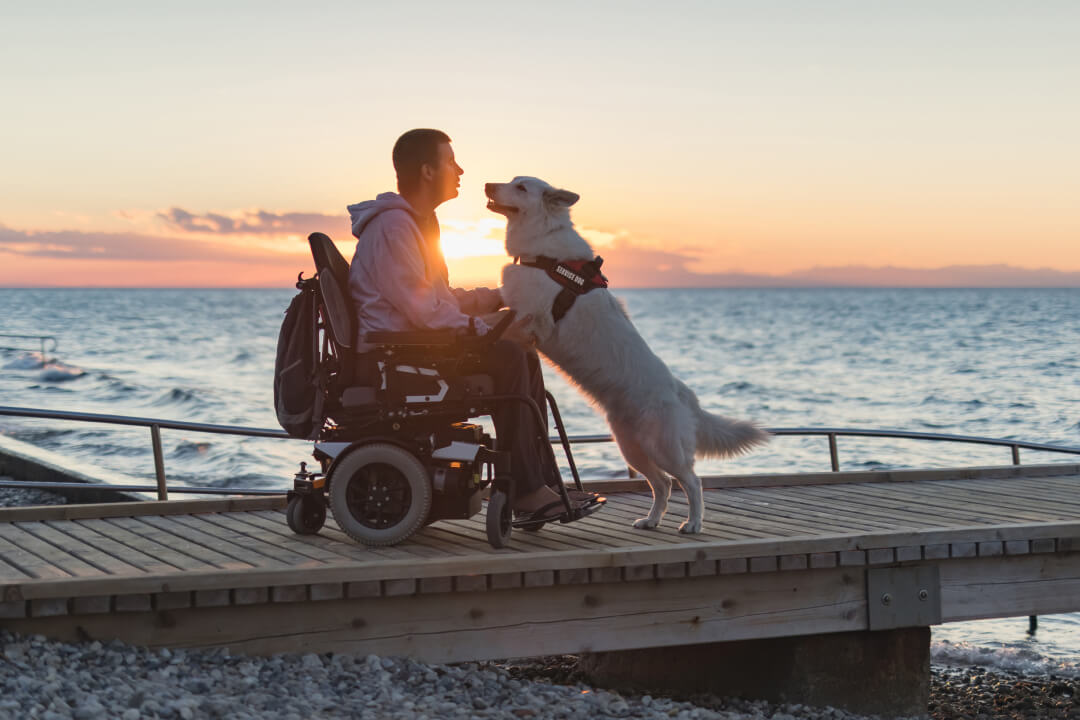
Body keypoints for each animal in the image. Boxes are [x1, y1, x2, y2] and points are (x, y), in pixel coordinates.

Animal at [481, 174, 768, 535]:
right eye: (510, 181)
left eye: (521, 187)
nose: (487, 185)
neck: (543, 246)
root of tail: (684, 395)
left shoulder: (531, 319)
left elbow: (500, 324)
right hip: (631, 447)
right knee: (663, 484)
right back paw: (652, 519)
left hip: (664, 448)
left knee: (692, 482)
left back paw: (692, 523)